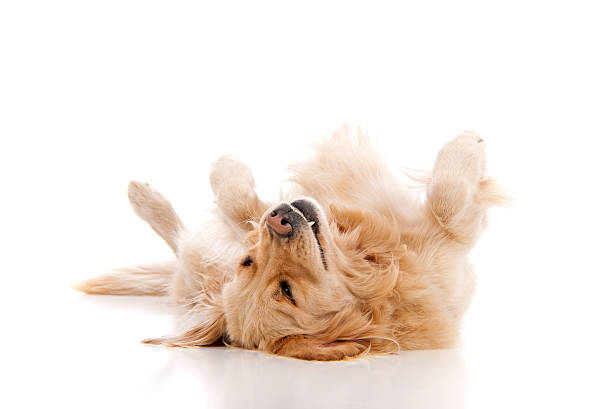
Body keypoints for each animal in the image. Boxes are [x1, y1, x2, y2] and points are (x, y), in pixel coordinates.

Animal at [75, 126, 506, 358]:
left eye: (247, 262)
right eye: (286, 291)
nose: (280, 221)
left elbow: (237, 203)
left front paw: (226, 168)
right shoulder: (447, 244)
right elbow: (449, 200)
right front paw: (468, 145)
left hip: (203, 266)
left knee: (186, 245)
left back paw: (143, 196)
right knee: (182, 244)